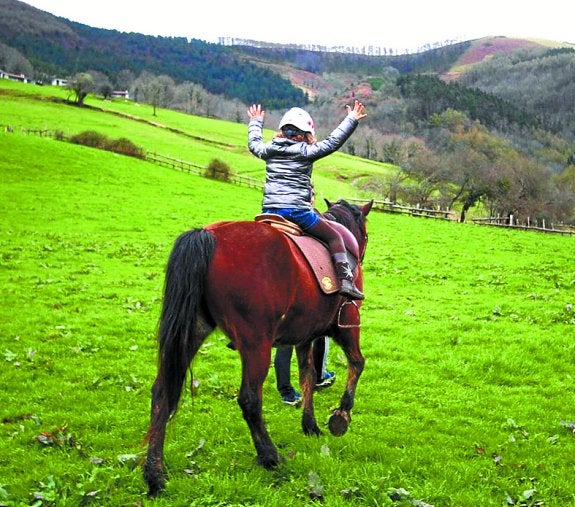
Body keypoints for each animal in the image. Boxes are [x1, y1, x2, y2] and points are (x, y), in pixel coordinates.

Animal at [143, 198, 373, 496]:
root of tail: (208, 235)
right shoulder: (348, 322)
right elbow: (356, 363)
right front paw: (341, 415)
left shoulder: (304, 335)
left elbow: (308, 377)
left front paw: (309, 425)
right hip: (256, 343)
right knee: (249, 399)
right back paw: (269, 456)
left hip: (190, 333)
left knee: (162, 391)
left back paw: (154, 474)